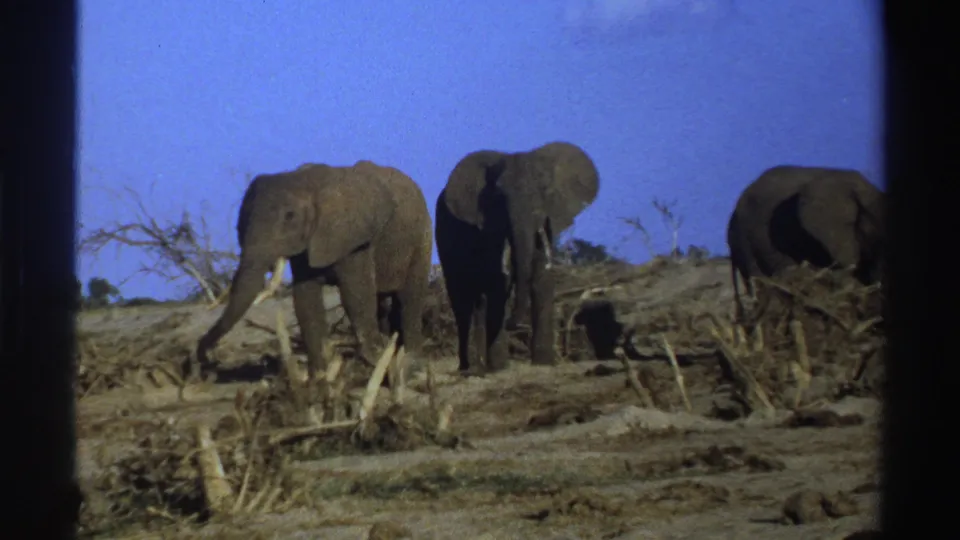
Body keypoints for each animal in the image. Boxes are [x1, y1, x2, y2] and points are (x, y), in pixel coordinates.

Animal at [192, 160, 434, 383]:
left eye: (289, 216)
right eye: (243, 220)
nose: (207, 359)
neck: (307, 183)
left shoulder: (353, 238)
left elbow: (355, 296)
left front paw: (373, 361)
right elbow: (305, 300)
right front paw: (319, 376)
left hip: (422, 236)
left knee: (410, 297)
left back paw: (410, 359)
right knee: (383, 300)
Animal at [435, 141, 600, 374]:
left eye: (544, 190)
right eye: (498, 195)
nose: (512, 323)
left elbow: (541, 275)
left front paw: (544, 363)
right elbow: (497, 280)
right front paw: (500, 367)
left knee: (478, 301)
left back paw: (480, 366)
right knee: (461, 300)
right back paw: (469, 367)